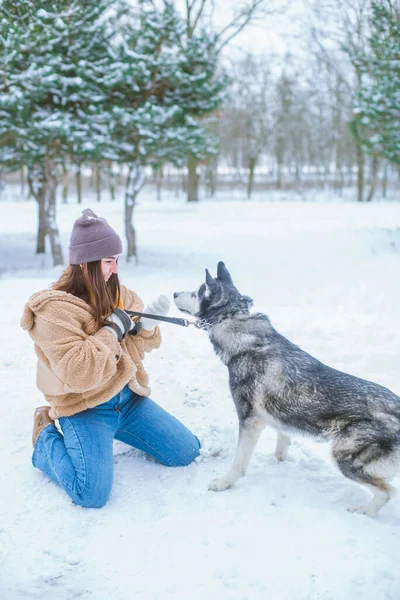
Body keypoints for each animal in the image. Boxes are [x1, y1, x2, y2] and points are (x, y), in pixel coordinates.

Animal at [174, 262, 400, 516]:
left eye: (196, 292)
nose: (173, 293)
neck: (235, 324)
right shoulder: (280, 416)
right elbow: (281, 446)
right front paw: (280, 462)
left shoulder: (250, 421)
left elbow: (238, 463)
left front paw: (224, 482)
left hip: (344, 457)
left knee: (387, 491)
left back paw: (363, 512)